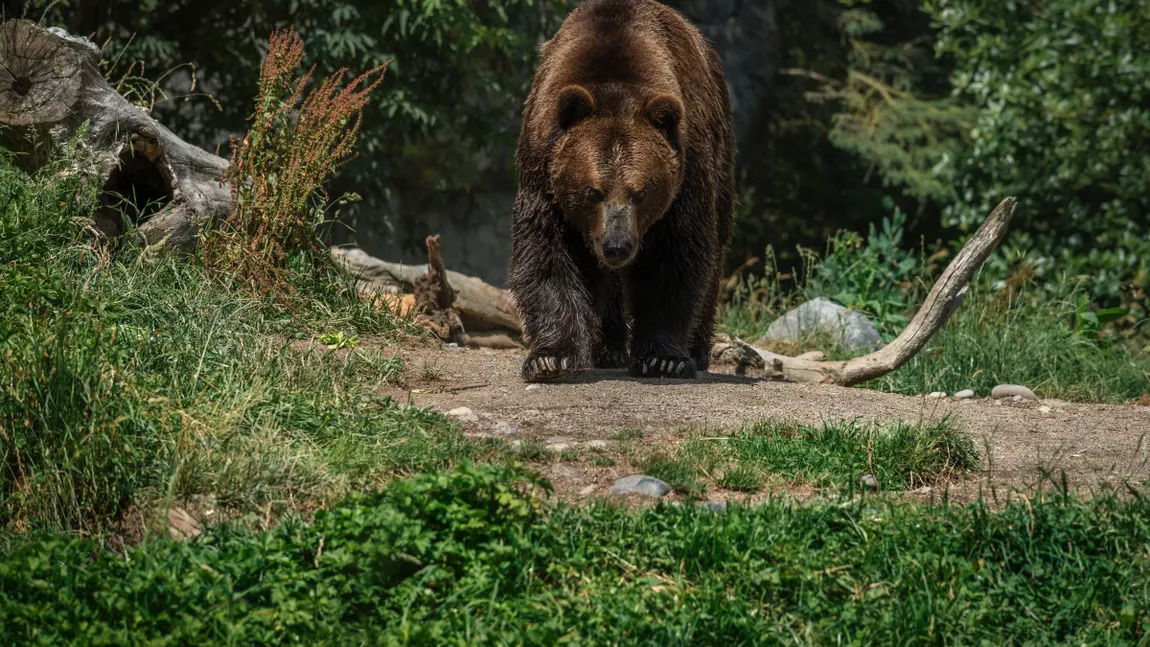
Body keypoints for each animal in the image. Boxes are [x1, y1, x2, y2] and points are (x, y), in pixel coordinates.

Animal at [506, 0, 736, 381]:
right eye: (592, 191)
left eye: (640, 192)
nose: (617, 246)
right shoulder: (543, 167)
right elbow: (548, 253)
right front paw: (550, 357)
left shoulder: (687, 172)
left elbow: (675, 258)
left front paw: (664, 358)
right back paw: (608, 349)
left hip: (722, 156)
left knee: (716, 249)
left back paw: (696, 350)